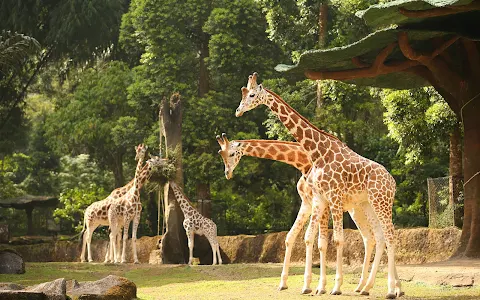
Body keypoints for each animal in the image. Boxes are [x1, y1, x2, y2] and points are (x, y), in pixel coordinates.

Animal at [216, 133, 392, 292]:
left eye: (231, 154)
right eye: (221, 154)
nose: (227, 173)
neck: (303, 163)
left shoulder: (320, 204)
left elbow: (318, 241)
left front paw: (317, 286)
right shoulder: (307, 203)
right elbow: (292, 236)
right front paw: (286, 283)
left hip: (366, 208)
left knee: (382, 236)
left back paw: (385, 287)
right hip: (360, 210)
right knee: (372, 238)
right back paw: (365, 286)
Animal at [236, 72, 402, 298]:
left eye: (252, 94)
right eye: (243, 94)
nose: (238, 110)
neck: (318, 151)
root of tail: (392, 181)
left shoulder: (333, 196)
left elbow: (336, 239)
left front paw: (334, 287)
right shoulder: (321, 198)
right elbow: (317, 240)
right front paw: (319, 286)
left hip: (381, 202)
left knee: (390, 236)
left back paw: (391, 290)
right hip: (367, 204)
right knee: (377, 236)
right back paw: (367, 287)